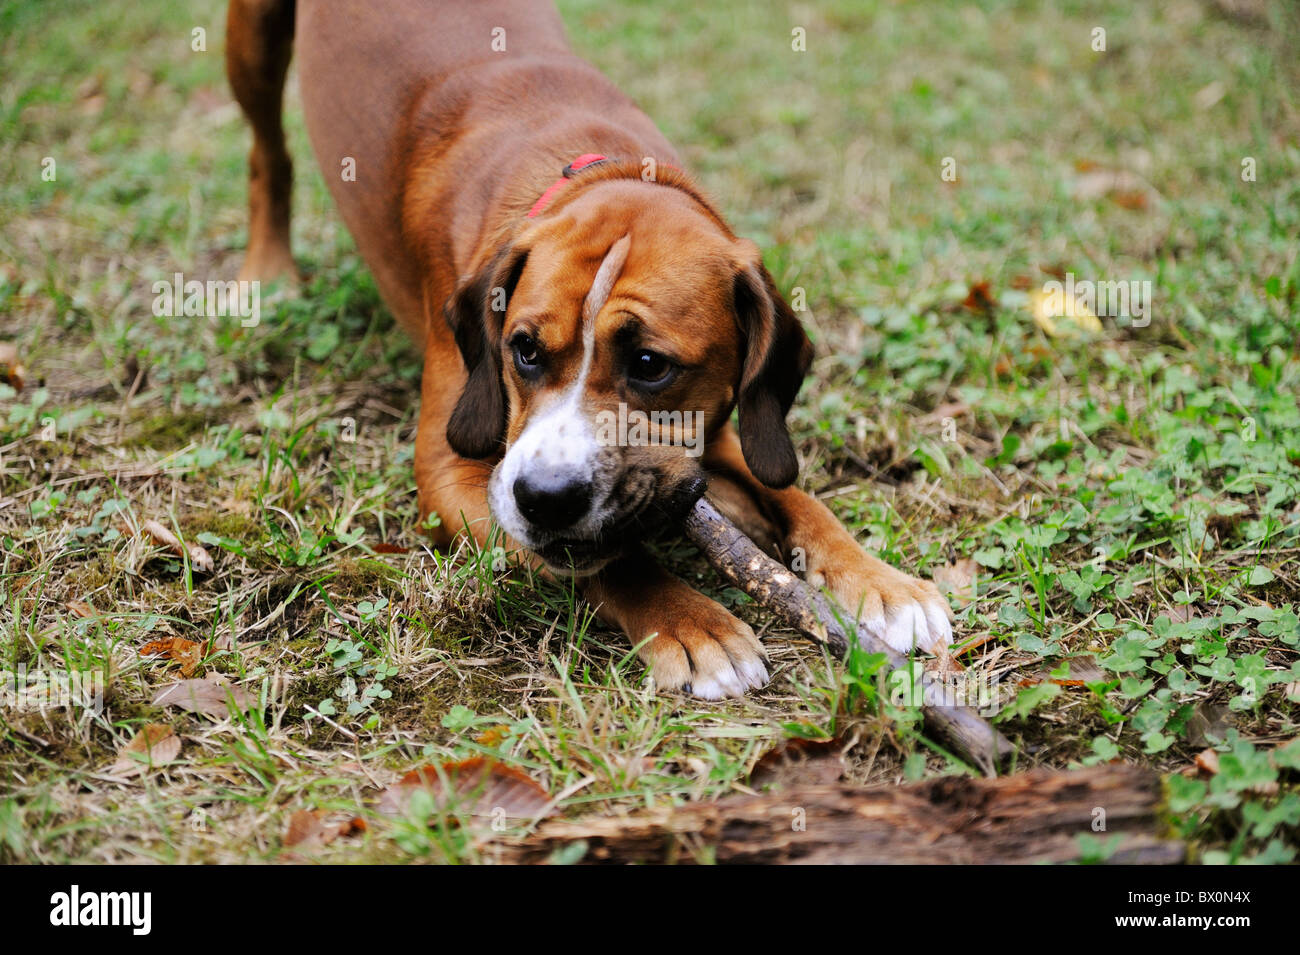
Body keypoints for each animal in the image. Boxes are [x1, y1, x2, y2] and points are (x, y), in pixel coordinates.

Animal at [226, 0, 956, 701]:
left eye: (650, 366)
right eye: (522, 350)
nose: (544, 498)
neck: (589, 167)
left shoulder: (718, 421)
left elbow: (798, 494)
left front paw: (880, 582)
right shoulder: (451, 476)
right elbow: (617, 560)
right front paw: (693, 624)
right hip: (254, 43)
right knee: (266, 152)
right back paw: (269, 272)